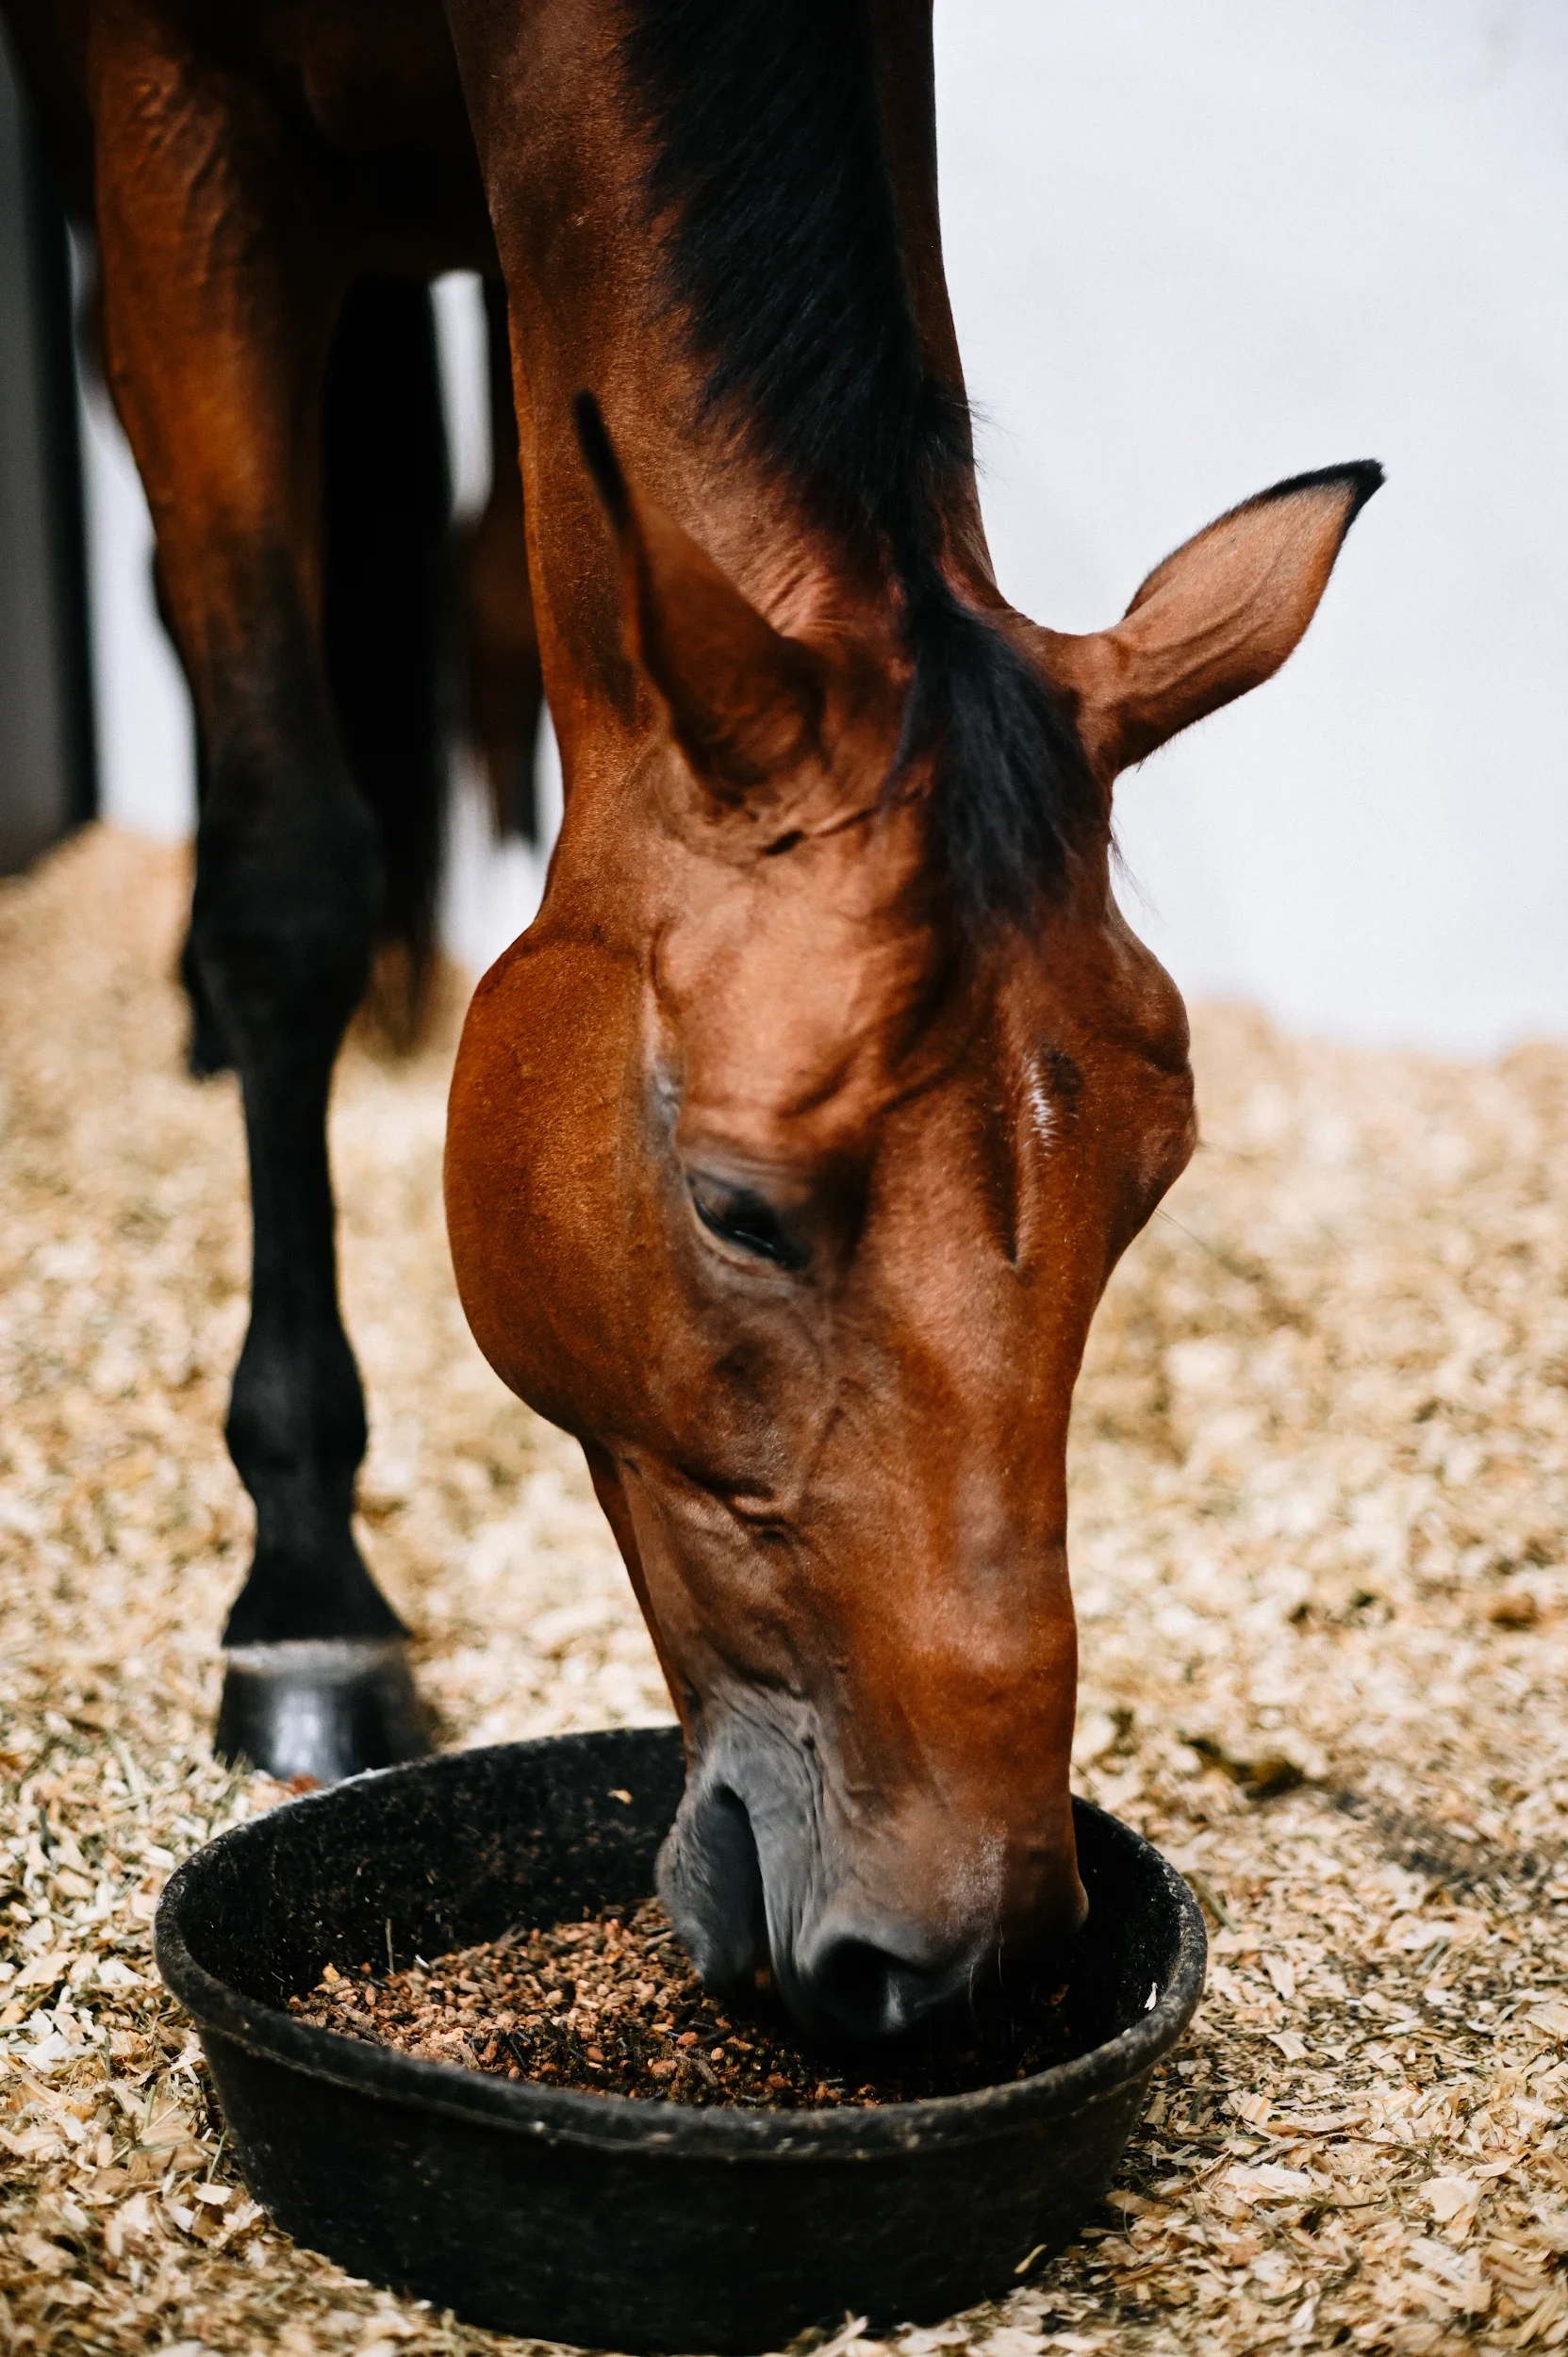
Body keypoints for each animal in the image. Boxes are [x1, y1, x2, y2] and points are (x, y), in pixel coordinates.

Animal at [7, 0, 1377, 2040]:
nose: (960, 1943)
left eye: (1149, 1184)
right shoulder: (186, 149)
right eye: (736, 1208)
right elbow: (289, 880)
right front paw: (307, 1598)